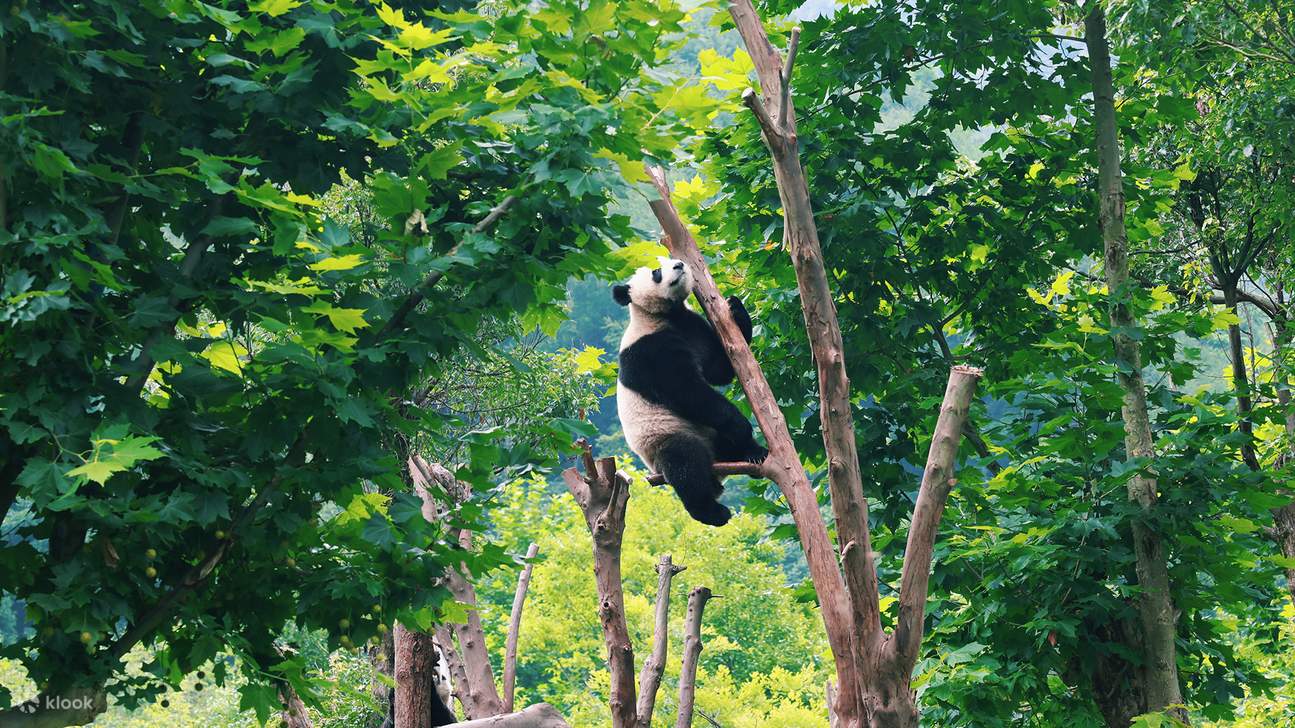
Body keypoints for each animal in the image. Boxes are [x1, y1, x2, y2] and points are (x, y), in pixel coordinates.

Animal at [613, 257, 768, 526]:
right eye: (656, 271)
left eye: (668, 259)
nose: (678, 264)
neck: (664, 315)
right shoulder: (650, 351)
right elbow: (687, 391)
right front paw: (741, 425)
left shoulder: (692, 326)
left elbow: (720, 369)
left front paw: (735, 307)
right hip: (663, 438)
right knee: (685, 462)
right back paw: (713, 512)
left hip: (711, 437)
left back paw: (754, 453)